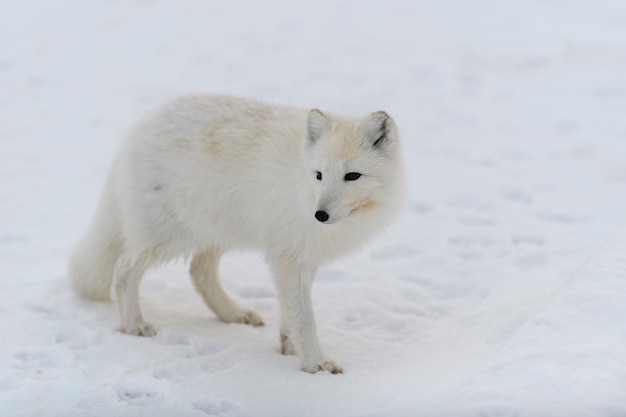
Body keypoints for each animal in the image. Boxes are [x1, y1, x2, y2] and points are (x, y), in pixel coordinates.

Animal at [69, 95, 404, 374]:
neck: (303, 188)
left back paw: (233, 314)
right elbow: (304, 317)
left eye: (352, 176)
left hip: (215, 231)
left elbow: (290, 310)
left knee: (199, 272)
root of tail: (137, 128)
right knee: (124, 270)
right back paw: (134, 326)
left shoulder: (302, 259)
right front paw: (315, 363)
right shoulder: (287, 256)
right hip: (168, 236)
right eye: (319, 175)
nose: (319, 215)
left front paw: (289, 347)